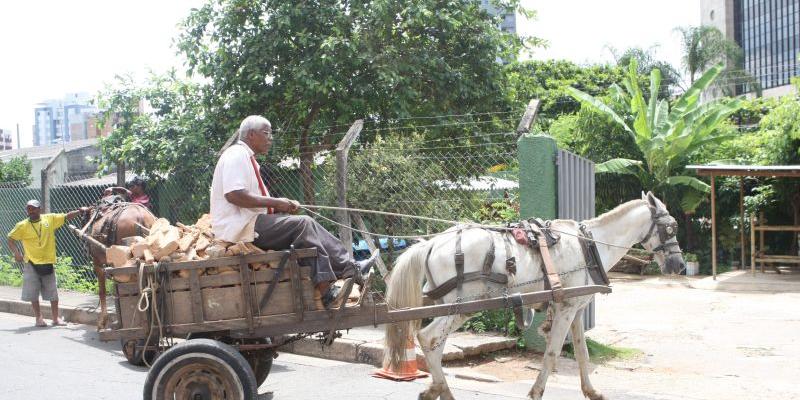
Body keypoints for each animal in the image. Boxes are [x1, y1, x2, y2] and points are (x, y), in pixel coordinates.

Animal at [384, 192, 684, 398]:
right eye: (671, 227)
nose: (679, 265)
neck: (589, 245)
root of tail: (433, 243)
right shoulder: (565, 309)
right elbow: (551, 353)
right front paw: (536, 392)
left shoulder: (574, 309)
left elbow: (582, 354)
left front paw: (591, 391)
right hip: (463, 306)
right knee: (429, 338)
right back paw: (442, 390)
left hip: (447, 306)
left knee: (435, 345)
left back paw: (437, 388)